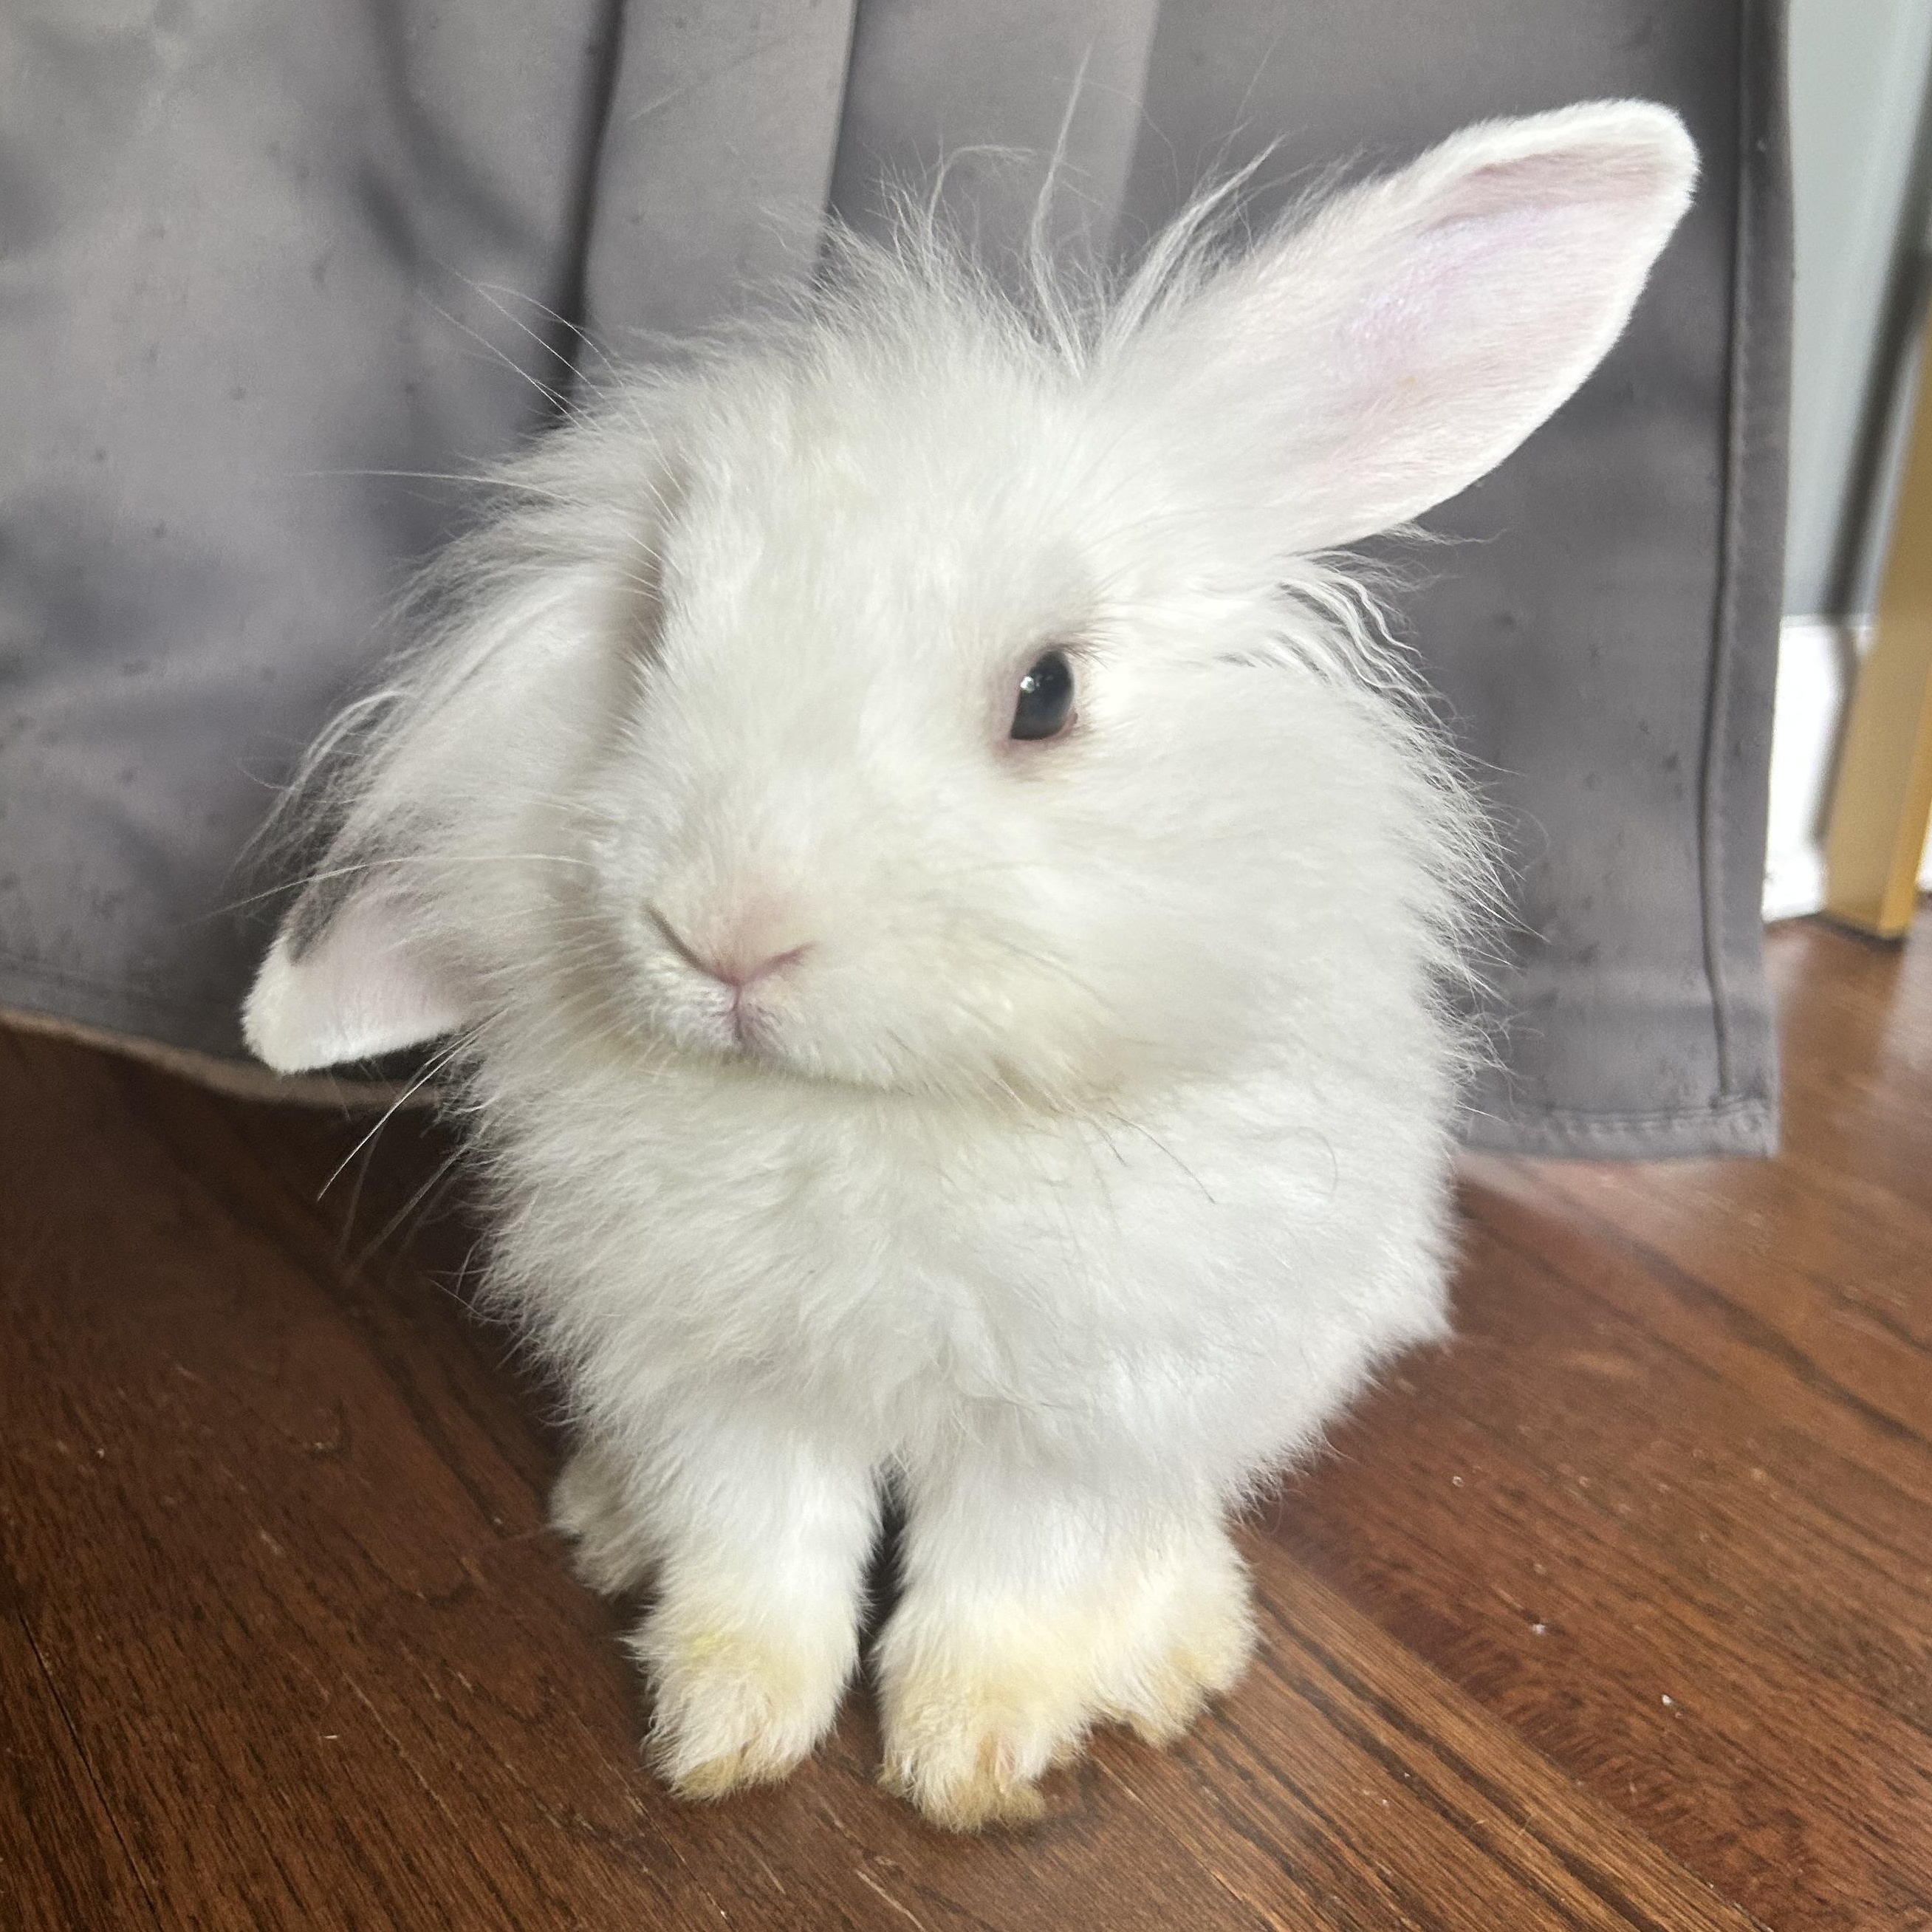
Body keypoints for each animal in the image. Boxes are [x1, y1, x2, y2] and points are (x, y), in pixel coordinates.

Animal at [243, 101, 1695, 1829]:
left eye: (1046, 694)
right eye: (648, 636)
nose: (724, 933)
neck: (875, 1114)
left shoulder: (1079, 1420)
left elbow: (1009, 1584)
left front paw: (970, 1760)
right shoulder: (719, 1386)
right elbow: (762, 1558)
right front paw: (721, 1735)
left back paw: (1176, 1649)